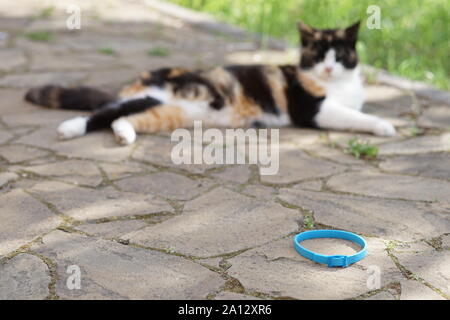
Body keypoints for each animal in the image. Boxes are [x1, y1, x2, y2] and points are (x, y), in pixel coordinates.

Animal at [24, 20, 396, 145]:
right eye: (318, 55)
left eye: (340, 54)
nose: (329, 68)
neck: (339, 86)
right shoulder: (312, 109)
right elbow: (355, 116)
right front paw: (385, 126)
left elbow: (356, 110)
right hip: (159, 95)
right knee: (103, 111)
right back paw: (70, 128)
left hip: (167, 112)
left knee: (121, 118)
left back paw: (124, 135)